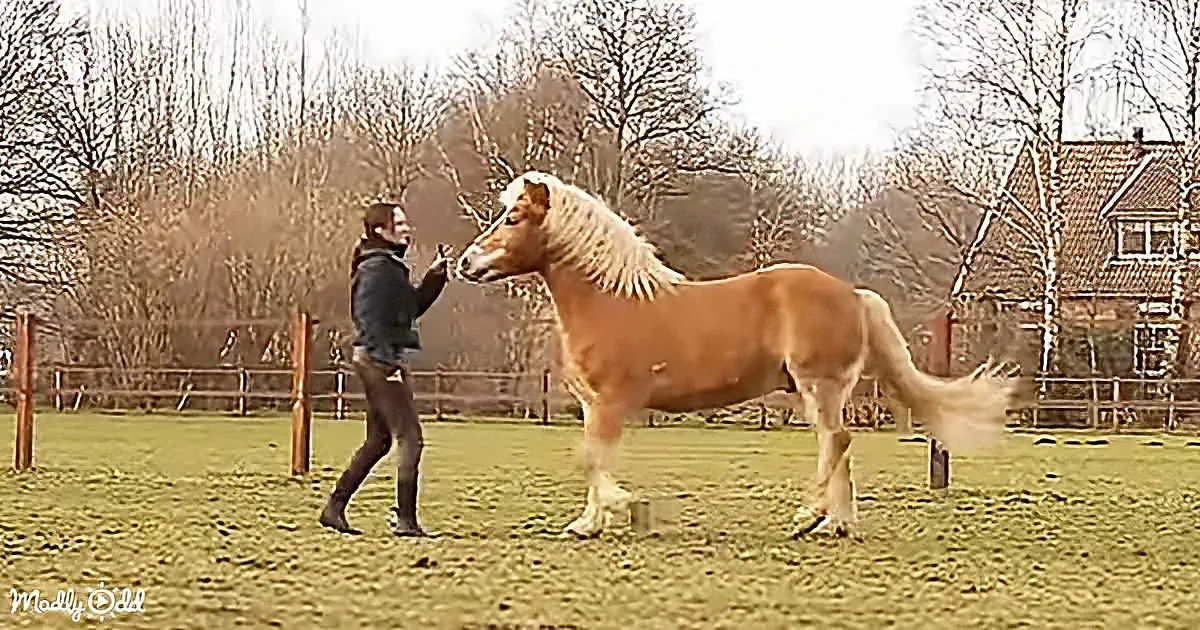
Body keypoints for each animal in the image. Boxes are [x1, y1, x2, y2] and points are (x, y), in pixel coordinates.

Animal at [454, 171, 1016, 539]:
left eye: (514, 217)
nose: (465, 262)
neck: (612, 299)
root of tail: (853, 294)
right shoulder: (595, 406)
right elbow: (592, 458)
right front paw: (589, 522)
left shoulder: (612, 402)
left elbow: (592, 459)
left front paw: (618, 509)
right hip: (825, 390)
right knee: (838, 444)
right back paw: (836, 524)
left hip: (819, 384)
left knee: (835, 442)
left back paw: (809, 517)